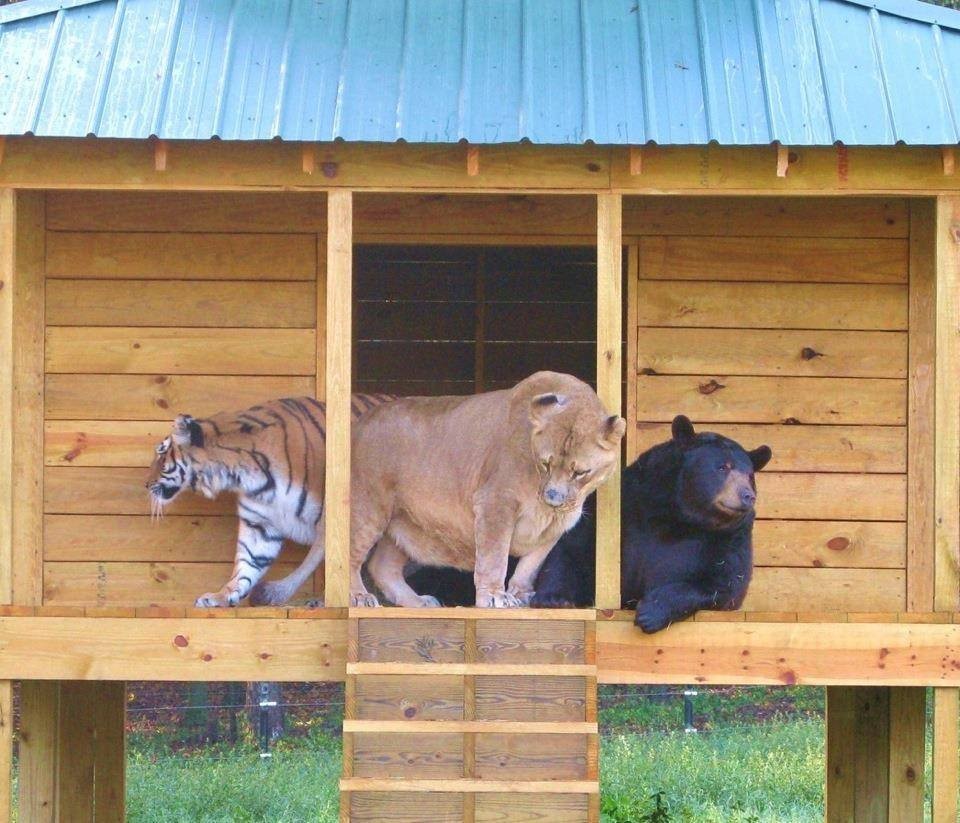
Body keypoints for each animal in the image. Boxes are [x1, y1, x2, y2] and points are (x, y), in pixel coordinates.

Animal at [145, 395, 393, 608]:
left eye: (161, 454)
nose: (146, 485)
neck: (243, 473)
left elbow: (345, 555)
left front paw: (356, 596)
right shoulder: (259, 524)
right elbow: (247, 564)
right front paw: (221, 596)